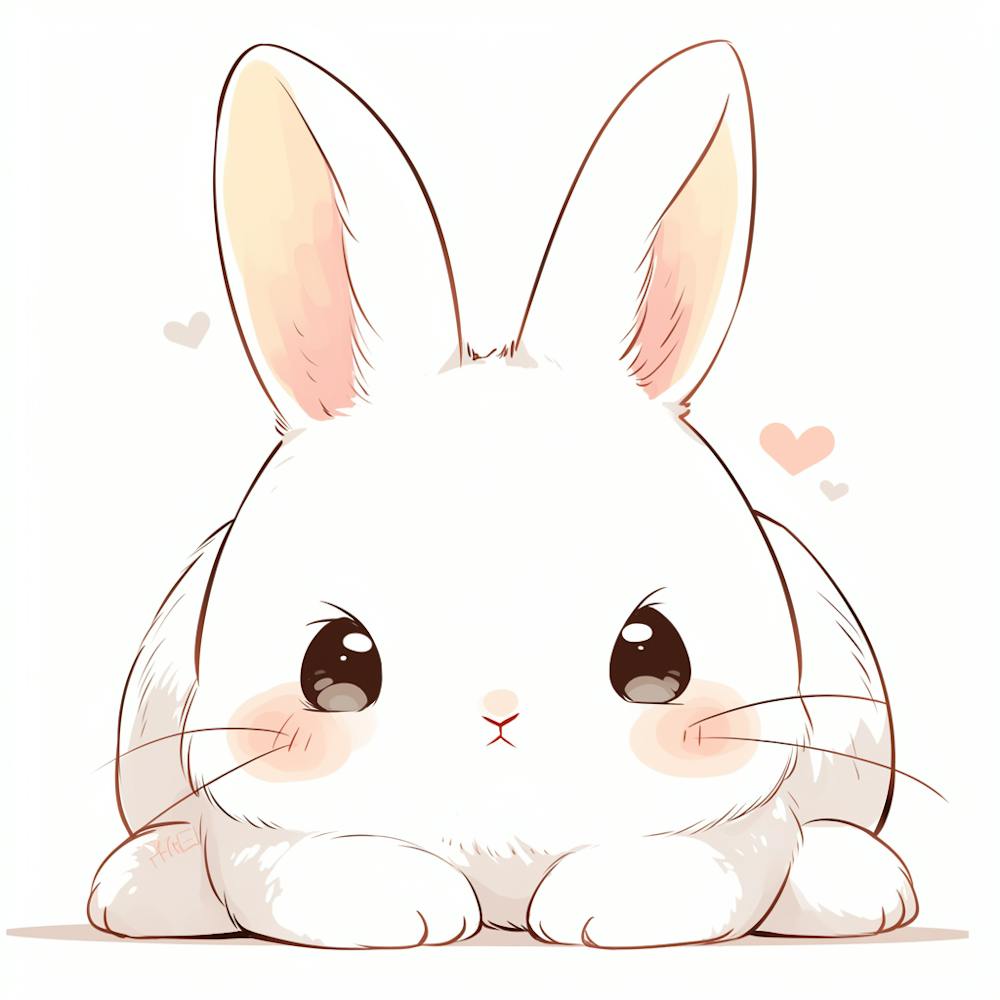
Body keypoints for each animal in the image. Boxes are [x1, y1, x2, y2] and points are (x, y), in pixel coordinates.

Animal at [87, 40, 917, 948]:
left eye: (654, 656)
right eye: (334, 668)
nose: (500, 714)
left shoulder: (746, 812)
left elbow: (720, 858)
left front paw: (601, 907)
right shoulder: (252, 820)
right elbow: (285, 865)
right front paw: (404, 904)